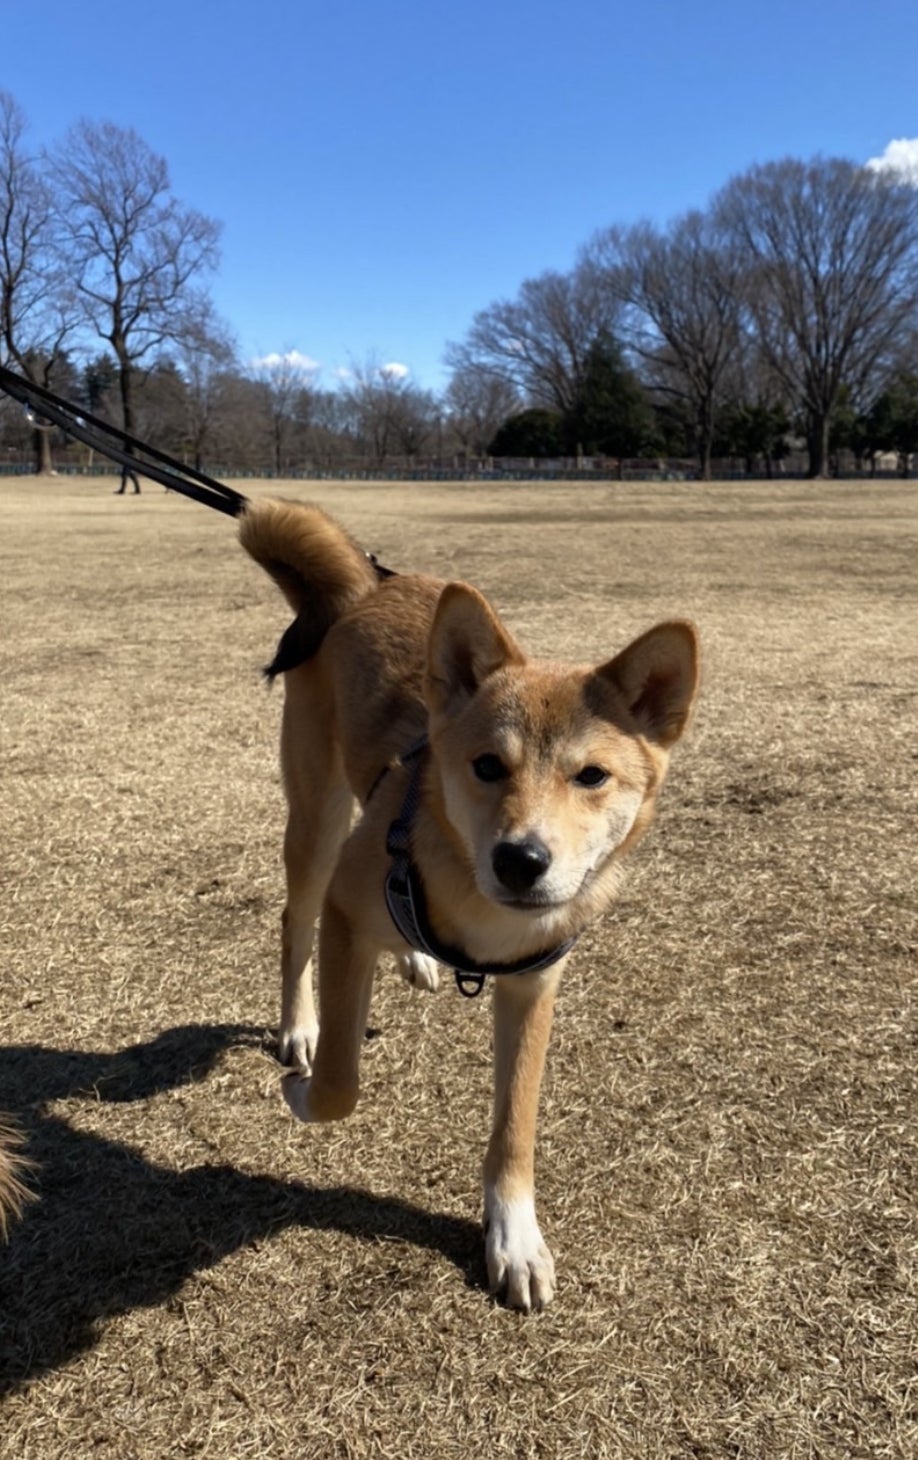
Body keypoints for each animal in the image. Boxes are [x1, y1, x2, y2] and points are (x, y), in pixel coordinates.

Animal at [240, 498, 699, 1310]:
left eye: (591, 776)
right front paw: (302, 1092)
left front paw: (513, 1239)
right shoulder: (346, 911)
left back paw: (418, 959)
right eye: (487, 766)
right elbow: (340, 1082)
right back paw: (300, 1026)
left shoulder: (533, 985)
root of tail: (365, 587)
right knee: (295, 924)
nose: (520, 859)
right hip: (318, 824)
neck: (484, 911)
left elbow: (515, 1125)